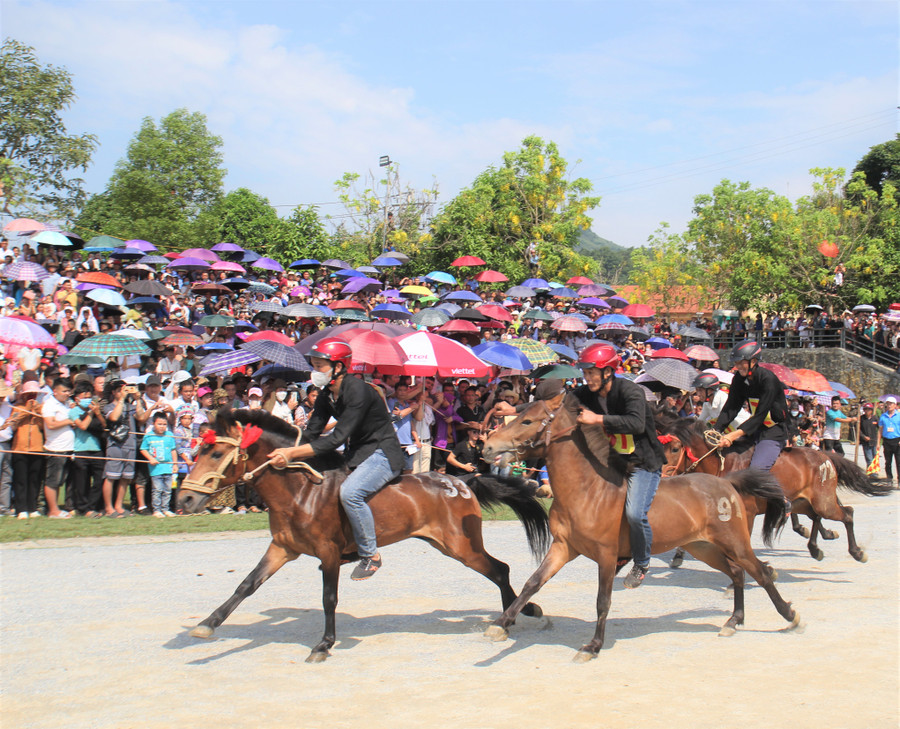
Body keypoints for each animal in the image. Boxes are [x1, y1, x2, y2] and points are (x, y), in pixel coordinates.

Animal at [171, 406, 548, 664]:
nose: (184, 499)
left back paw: (512, 616)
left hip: (461, 546)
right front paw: (208, 623)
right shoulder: (282, 548)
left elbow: (329, 599)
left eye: (216, 453)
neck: (301, 490)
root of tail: (462, 480)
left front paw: (324, 645)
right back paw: (518, 611)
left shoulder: (328, 553)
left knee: (499, 569)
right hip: (447, 545)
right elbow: (246, 585)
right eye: (199, 451)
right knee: (499, 570)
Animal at [478, 392, 800, 660]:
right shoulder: (563, 548)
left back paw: (789, 615)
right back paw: (733, 620)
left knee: (759, 573)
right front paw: (501, 624)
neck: (588, 490)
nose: (488, 446)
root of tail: (727, 483)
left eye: (527, 420)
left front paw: (593, 646)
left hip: (735, 542)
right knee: (736, 573)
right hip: (703, 547)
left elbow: (603, 601)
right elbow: (532, 583)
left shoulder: (607, 556)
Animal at [652, 410, 892, 564]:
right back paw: (816, 547)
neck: (721, 465)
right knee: (817, 516)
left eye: (675, 448)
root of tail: (825, 456)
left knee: (846, 514)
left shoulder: (745, 513)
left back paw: (856, 551)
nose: (659, 476)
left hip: (823, 502)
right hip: (802, 502)